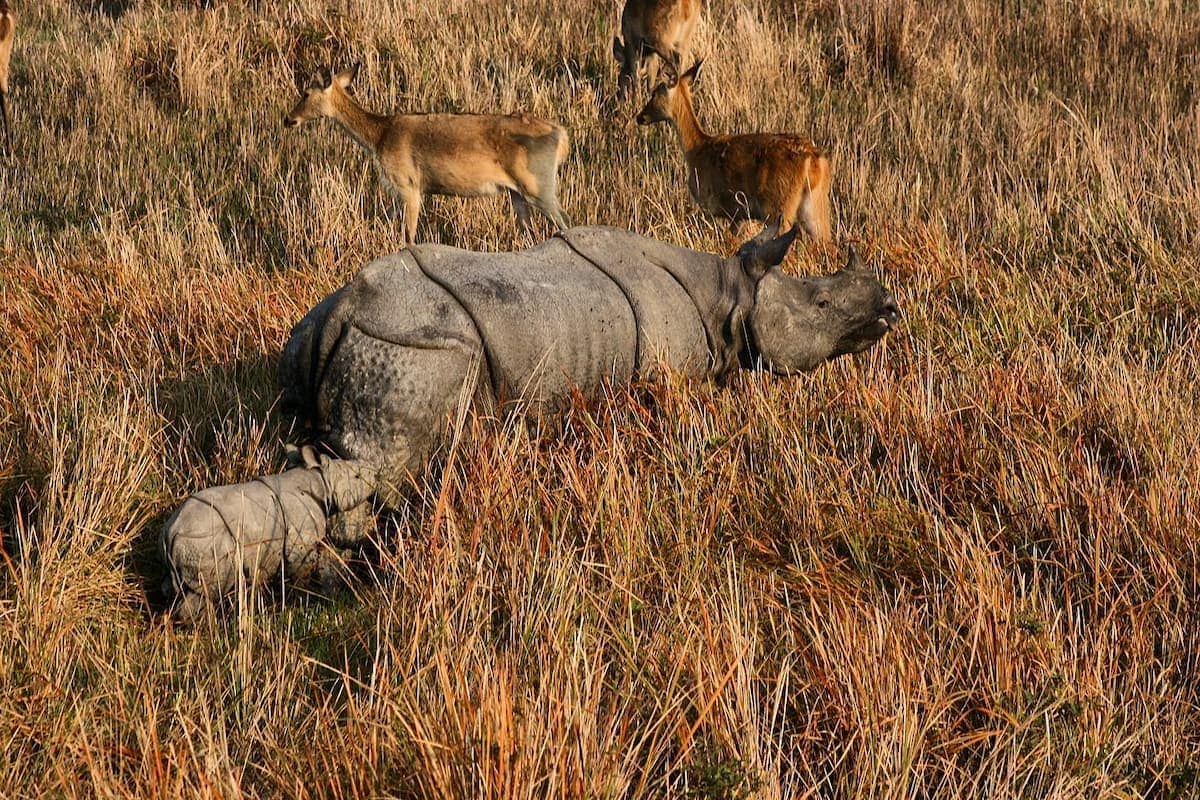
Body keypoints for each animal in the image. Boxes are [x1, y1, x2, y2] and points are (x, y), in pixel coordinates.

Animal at [161, 223, 899, 619]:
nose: (890, 308)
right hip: (417, 347)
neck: (729, 294)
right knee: (371, 470)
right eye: (822, 303)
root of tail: (342, 312)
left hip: (313, 338)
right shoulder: (663, 382)